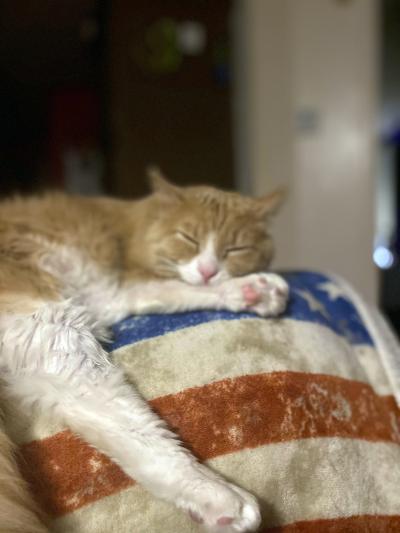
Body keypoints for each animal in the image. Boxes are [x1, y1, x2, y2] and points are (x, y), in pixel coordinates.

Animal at [0, 169, 288, 532]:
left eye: (235, 249)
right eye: (188, 238)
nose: (209, 270)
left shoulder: (106, 295)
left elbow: (172, 290)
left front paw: (253, 291)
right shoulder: (45, 319)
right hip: (51, 328)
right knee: (141, 424)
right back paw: (219, 494)